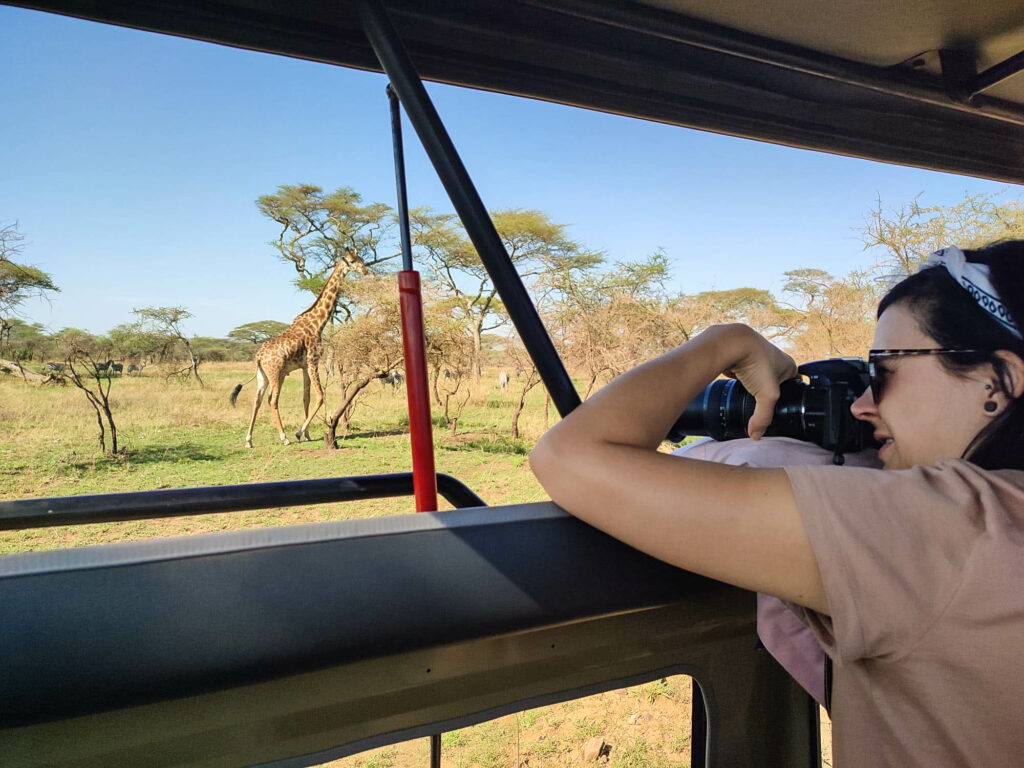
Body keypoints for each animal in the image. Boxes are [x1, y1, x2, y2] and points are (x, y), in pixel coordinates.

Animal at [232, 249, 368, 448]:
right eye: (353, 261)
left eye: (361, 260)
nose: (365, 270)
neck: (318, 323)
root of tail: (258, 357)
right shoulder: (313, 361)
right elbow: (320, 396)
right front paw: (298, 432)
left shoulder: (304, 366)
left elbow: (306, 397)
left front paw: (308, 434)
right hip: (276, 374)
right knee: (272, 400)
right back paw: (284, 438)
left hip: (262, 375)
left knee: (257, 400)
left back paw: (249, 440)